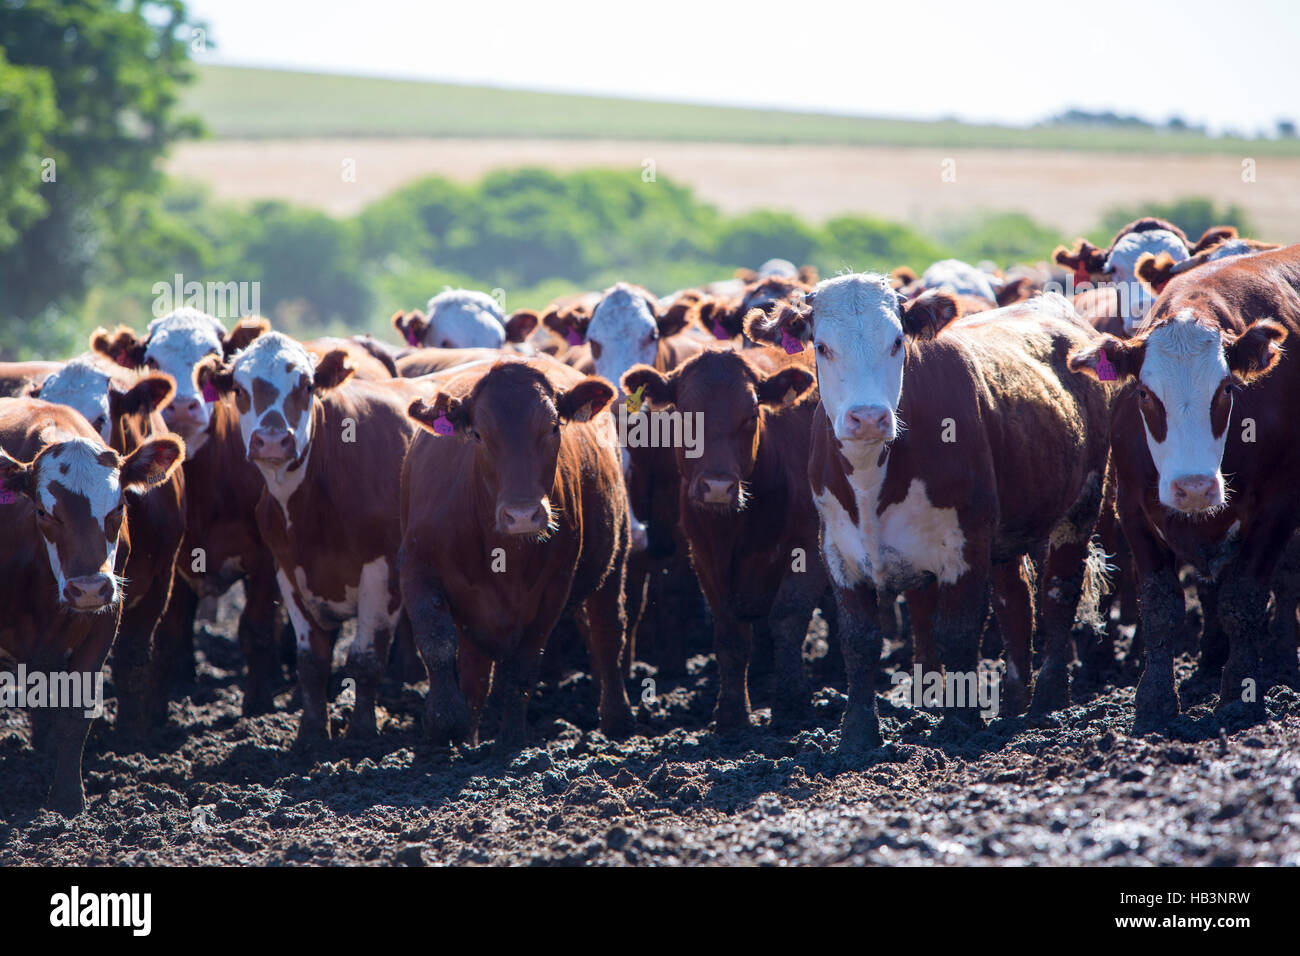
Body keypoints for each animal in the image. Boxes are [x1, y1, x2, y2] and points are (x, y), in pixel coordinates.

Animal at [1, 400, 185, 811]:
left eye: (118, 508)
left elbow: (74, 712)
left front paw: (67, 799)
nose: (87, 589)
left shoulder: (103, 621)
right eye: (43, 512)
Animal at [397, 356, 637, 749]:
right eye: (478, 434)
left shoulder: (554, 588)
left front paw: (511, 741)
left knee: (607, 631)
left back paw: (618, 719)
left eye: (554, 427)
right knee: (475, 672)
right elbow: (436, 641)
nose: (522, 514)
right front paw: (445, 721)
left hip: (615, 557)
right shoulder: (417, 564)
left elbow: (522, 667)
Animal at [618, 343, 821, 723]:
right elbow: (730, 635)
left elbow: (788, 618)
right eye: (685, 414)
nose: (717, 487)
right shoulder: (704, 559)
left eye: (751, 415)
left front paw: (791, 704)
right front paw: (731, 714)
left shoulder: (809, 546)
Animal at [748, 277, 1112, 754]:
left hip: (1082, 503)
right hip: (1006, 534)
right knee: (1015, 601)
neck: (872, 476)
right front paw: (857, 734)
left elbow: (956, 633)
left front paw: (961, 725)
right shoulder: (838, 550)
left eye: (897, 341)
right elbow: (858, 640)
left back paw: (1048, 700)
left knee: (1058, 592)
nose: (868, 417)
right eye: (822, 347)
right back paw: (1015, 703)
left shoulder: (966, 542)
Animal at [1066, 243, 1300, 728]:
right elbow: (1161, 607)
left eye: (1227, 389)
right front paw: (1155, 700)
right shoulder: (1133, 506)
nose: (1193, 488)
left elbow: (1243, 598)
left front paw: (1240, 693)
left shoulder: (1279, 505)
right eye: (1144, 395)